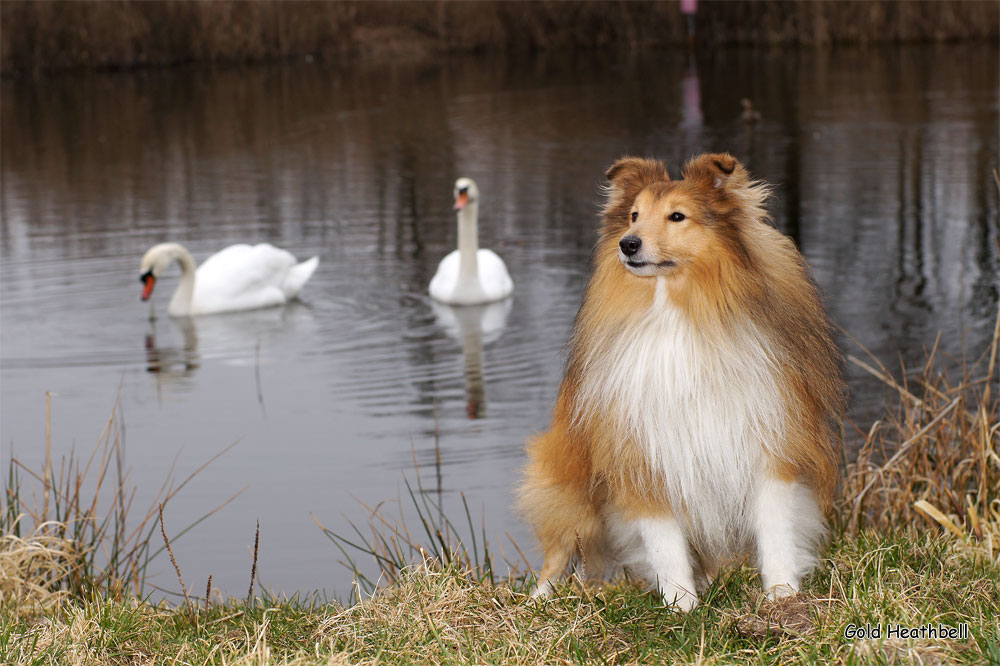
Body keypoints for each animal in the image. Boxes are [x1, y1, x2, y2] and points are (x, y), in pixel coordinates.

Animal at [524, 153, 844, 608]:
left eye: (677, 216)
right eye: (634, 215)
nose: (628, 244)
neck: (680, 313)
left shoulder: (769, 443)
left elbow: (776, 530)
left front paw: (782, 596)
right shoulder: (646, 455)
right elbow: (665, 543)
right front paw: (682, 606)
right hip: (571, 490)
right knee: (557, 553)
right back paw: (537, 600)